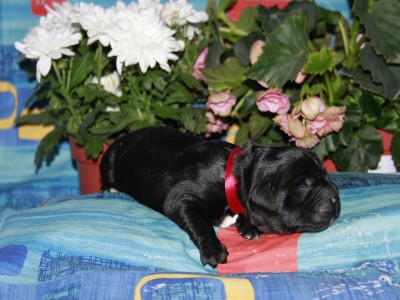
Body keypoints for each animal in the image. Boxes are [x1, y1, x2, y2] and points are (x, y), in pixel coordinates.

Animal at [100, 126, 340, 268]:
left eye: (326, 175)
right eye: (304, 186)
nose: (335, 200)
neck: (238, 176)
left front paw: (248, 226)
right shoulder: (181, 198)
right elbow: (199, 222)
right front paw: (213, 250)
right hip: (111, 155)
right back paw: (108, 188)